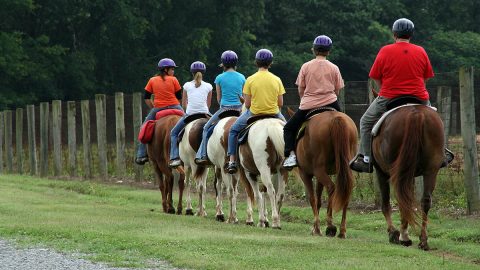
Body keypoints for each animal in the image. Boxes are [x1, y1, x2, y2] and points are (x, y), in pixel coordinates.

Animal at [288, 107, 356, 238]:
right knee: (346, 191)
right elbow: (319, 200)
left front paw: (317, 228)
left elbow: (312, 199)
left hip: (319, 170)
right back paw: (342, 231)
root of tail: (335, 118)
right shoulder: (320, 176)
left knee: (331, 187)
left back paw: (330, 225)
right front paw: (315, 228)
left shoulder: (306, 174)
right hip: (341, 169)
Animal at [374, 104, 444, 250]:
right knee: (425, 200)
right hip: (430, 170)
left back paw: (404, 237)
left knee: (401, 200)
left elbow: (386, 203)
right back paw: (423, 241)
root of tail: (415, 113)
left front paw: (393, 233)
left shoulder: (381, 172)